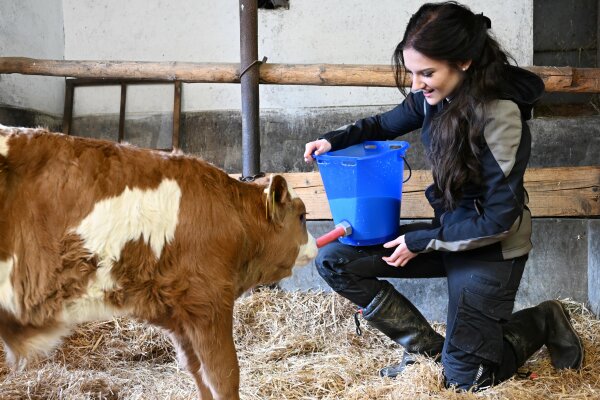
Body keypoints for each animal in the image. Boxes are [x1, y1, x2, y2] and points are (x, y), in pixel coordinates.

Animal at [0, 125, 318, 400]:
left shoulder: (180, 314)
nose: (315, 247)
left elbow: (198, 373)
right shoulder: (209, 302)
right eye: (302, 216)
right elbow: (223, 376)